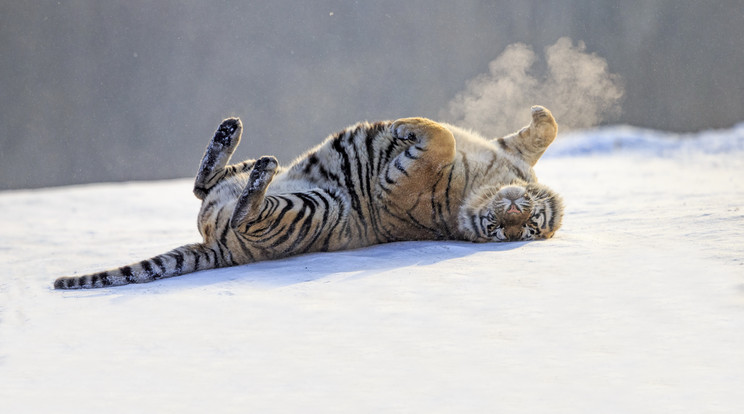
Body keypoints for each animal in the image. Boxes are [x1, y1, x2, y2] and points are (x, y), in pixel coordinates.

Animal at [53, 105, 564, 290]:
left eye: (525, 229)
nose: (513, 214)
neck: (490, 182)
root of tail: (214, 247)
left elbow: (441, 138)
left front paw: (403, 126)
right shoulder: (509, 151)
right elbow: (545, 129)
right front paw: (540, 112)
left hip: (311, 208)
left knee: (242, 211)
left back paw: (260, 170)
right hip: (246, 187)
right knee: (205, 185)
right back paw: (231, 133)